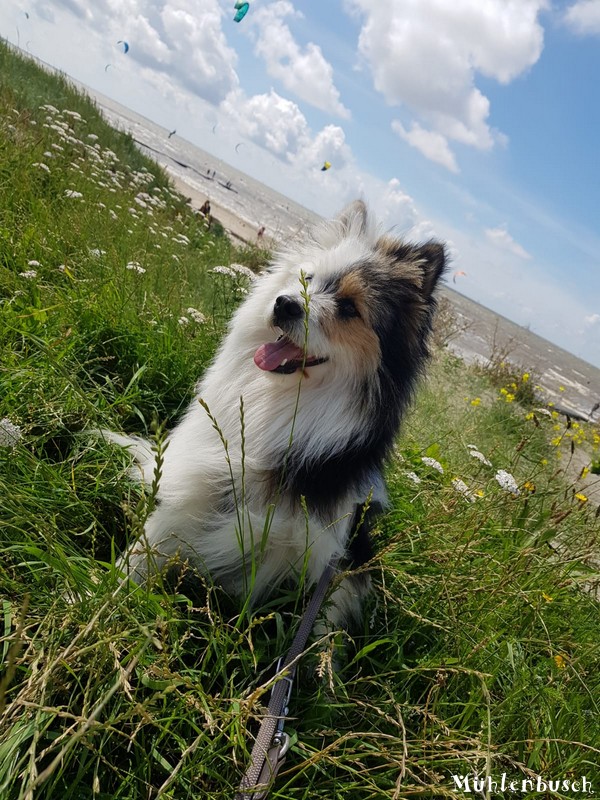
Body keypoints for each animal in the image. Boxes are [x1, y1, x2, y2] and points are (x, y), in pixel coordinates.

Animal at [105, 198, 446, 632]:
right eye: (307, 278)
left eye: (349, 307)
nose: (285, 303)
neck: (281, 401)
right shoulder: (194, 493)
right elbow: (142, 551)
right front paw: (98, 596)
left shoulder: (336, 556)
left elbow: (321, 628)